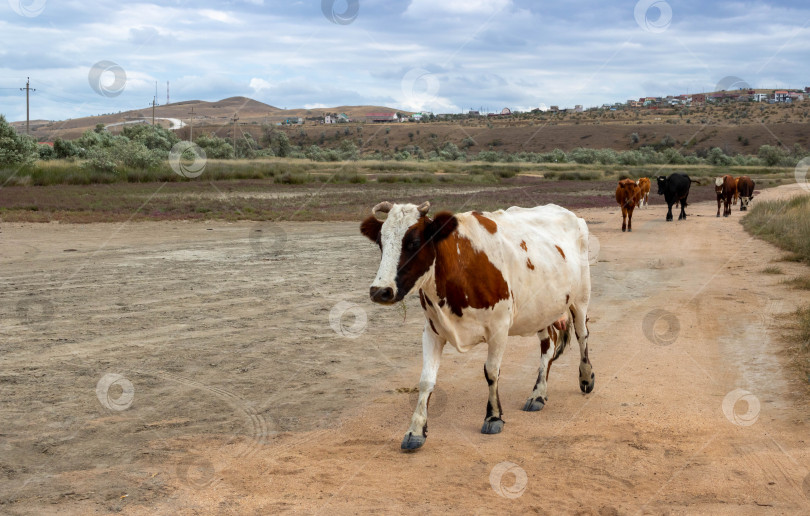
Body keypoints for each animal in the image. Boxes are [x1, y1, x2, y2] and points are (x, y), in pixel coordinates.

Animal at [360, 202, 592, 452]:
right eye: (381, 242)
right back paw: (538, 394)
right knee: (548, 346)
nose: (380, 291)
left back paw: (586, 378)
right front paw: (416, 430)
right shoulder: (432, 330)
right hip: (542, 310)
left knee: (582, 335)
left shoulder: (499, 327)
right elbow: (426, 380)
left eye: (413, 242)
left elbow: (491, 371)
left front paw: (493, 416)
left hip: (581, 298)